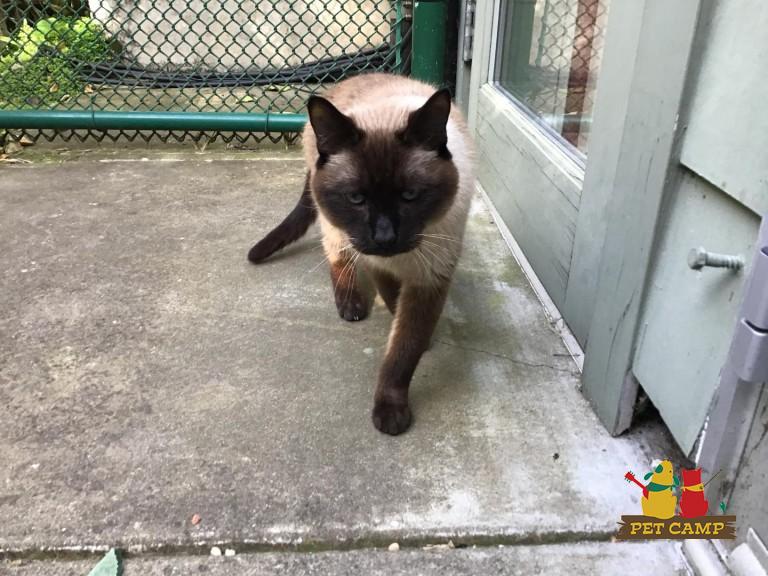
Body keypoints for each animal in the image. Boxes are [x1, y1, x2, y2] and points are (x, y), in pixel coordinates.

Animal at [248, 73, 475, 435]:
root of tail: (355, 77)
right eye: (356, 198)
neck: (396, 261)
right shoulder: (373, 258)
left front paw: (391, 409)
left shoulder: (429, 279)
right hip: (338, 229)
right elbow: (392, 302)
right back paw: (350, 305)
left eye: (410, 195)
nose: (385, 237)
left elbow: (404, 350)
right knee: (336, 257)